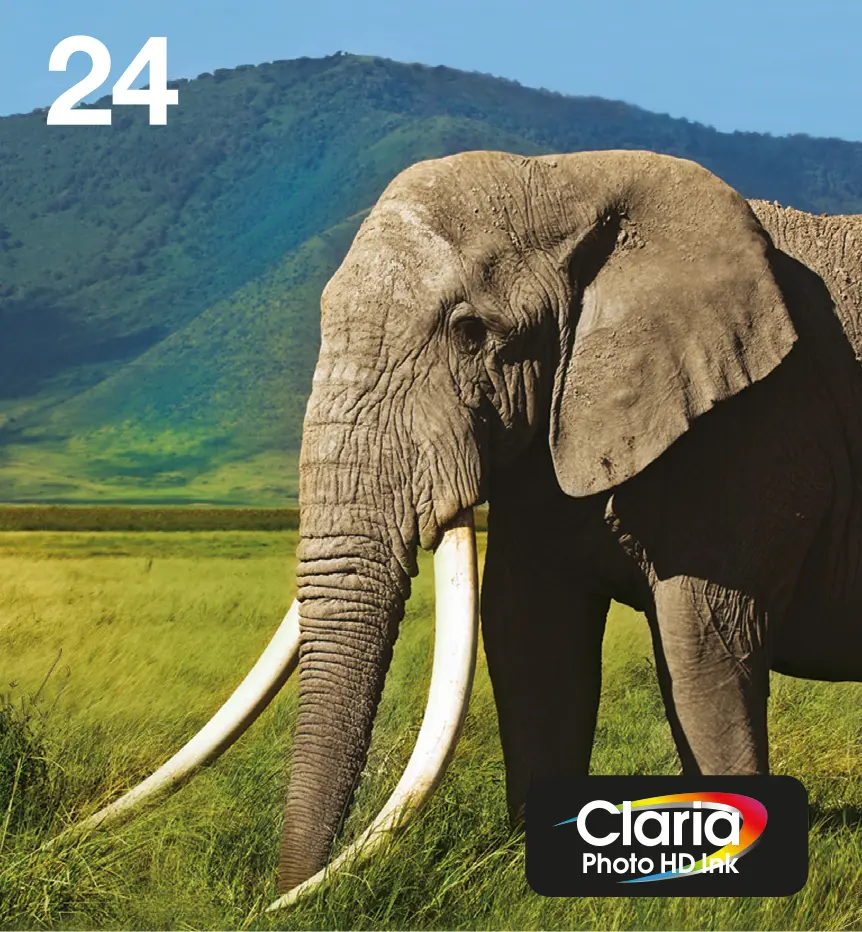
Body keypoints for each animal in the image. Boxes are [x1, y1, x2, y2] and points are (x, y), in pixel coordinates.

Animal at [71, 149, 862, 907]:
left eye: (471, 333)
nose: (278, 894)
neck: (569, 175)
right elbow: (529, 634)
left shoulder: (759, 423)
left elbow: (706, 641)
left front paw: (734, 889)